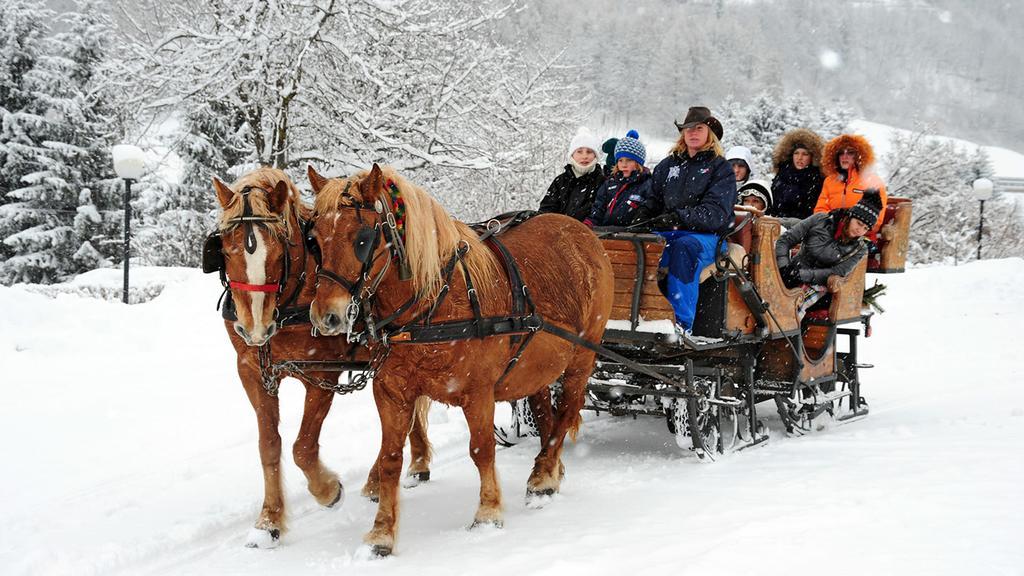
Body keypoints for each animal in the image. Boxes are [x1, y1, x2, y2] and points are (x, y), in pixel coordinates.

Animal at [207, 167, 432, 545]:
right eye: (224, 248)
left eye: (278, 250)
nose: (255, 328)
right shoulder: (252, 370)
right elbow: (269, 445)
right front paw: (269, 521)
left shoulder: (322, 374)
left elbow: (303, 446)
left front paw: (327, 490)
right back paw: (414, 464)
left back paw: (382, 477)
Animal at [307, 162, 610, 557]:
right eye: (314, 239)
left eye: (362, 239)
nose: (326, 316)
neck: (431, 305)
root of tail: (583, 233)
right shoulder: (391, 391)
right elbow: (390, 459)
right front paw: (382, 533)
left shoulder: (477, 392)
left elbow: (481, 449)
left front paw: (487, 513)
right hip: (534, 366)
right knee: (546, 411)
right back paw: (548, 470)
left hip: (582, 354)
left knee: (568, 409)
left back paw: (544, 476)